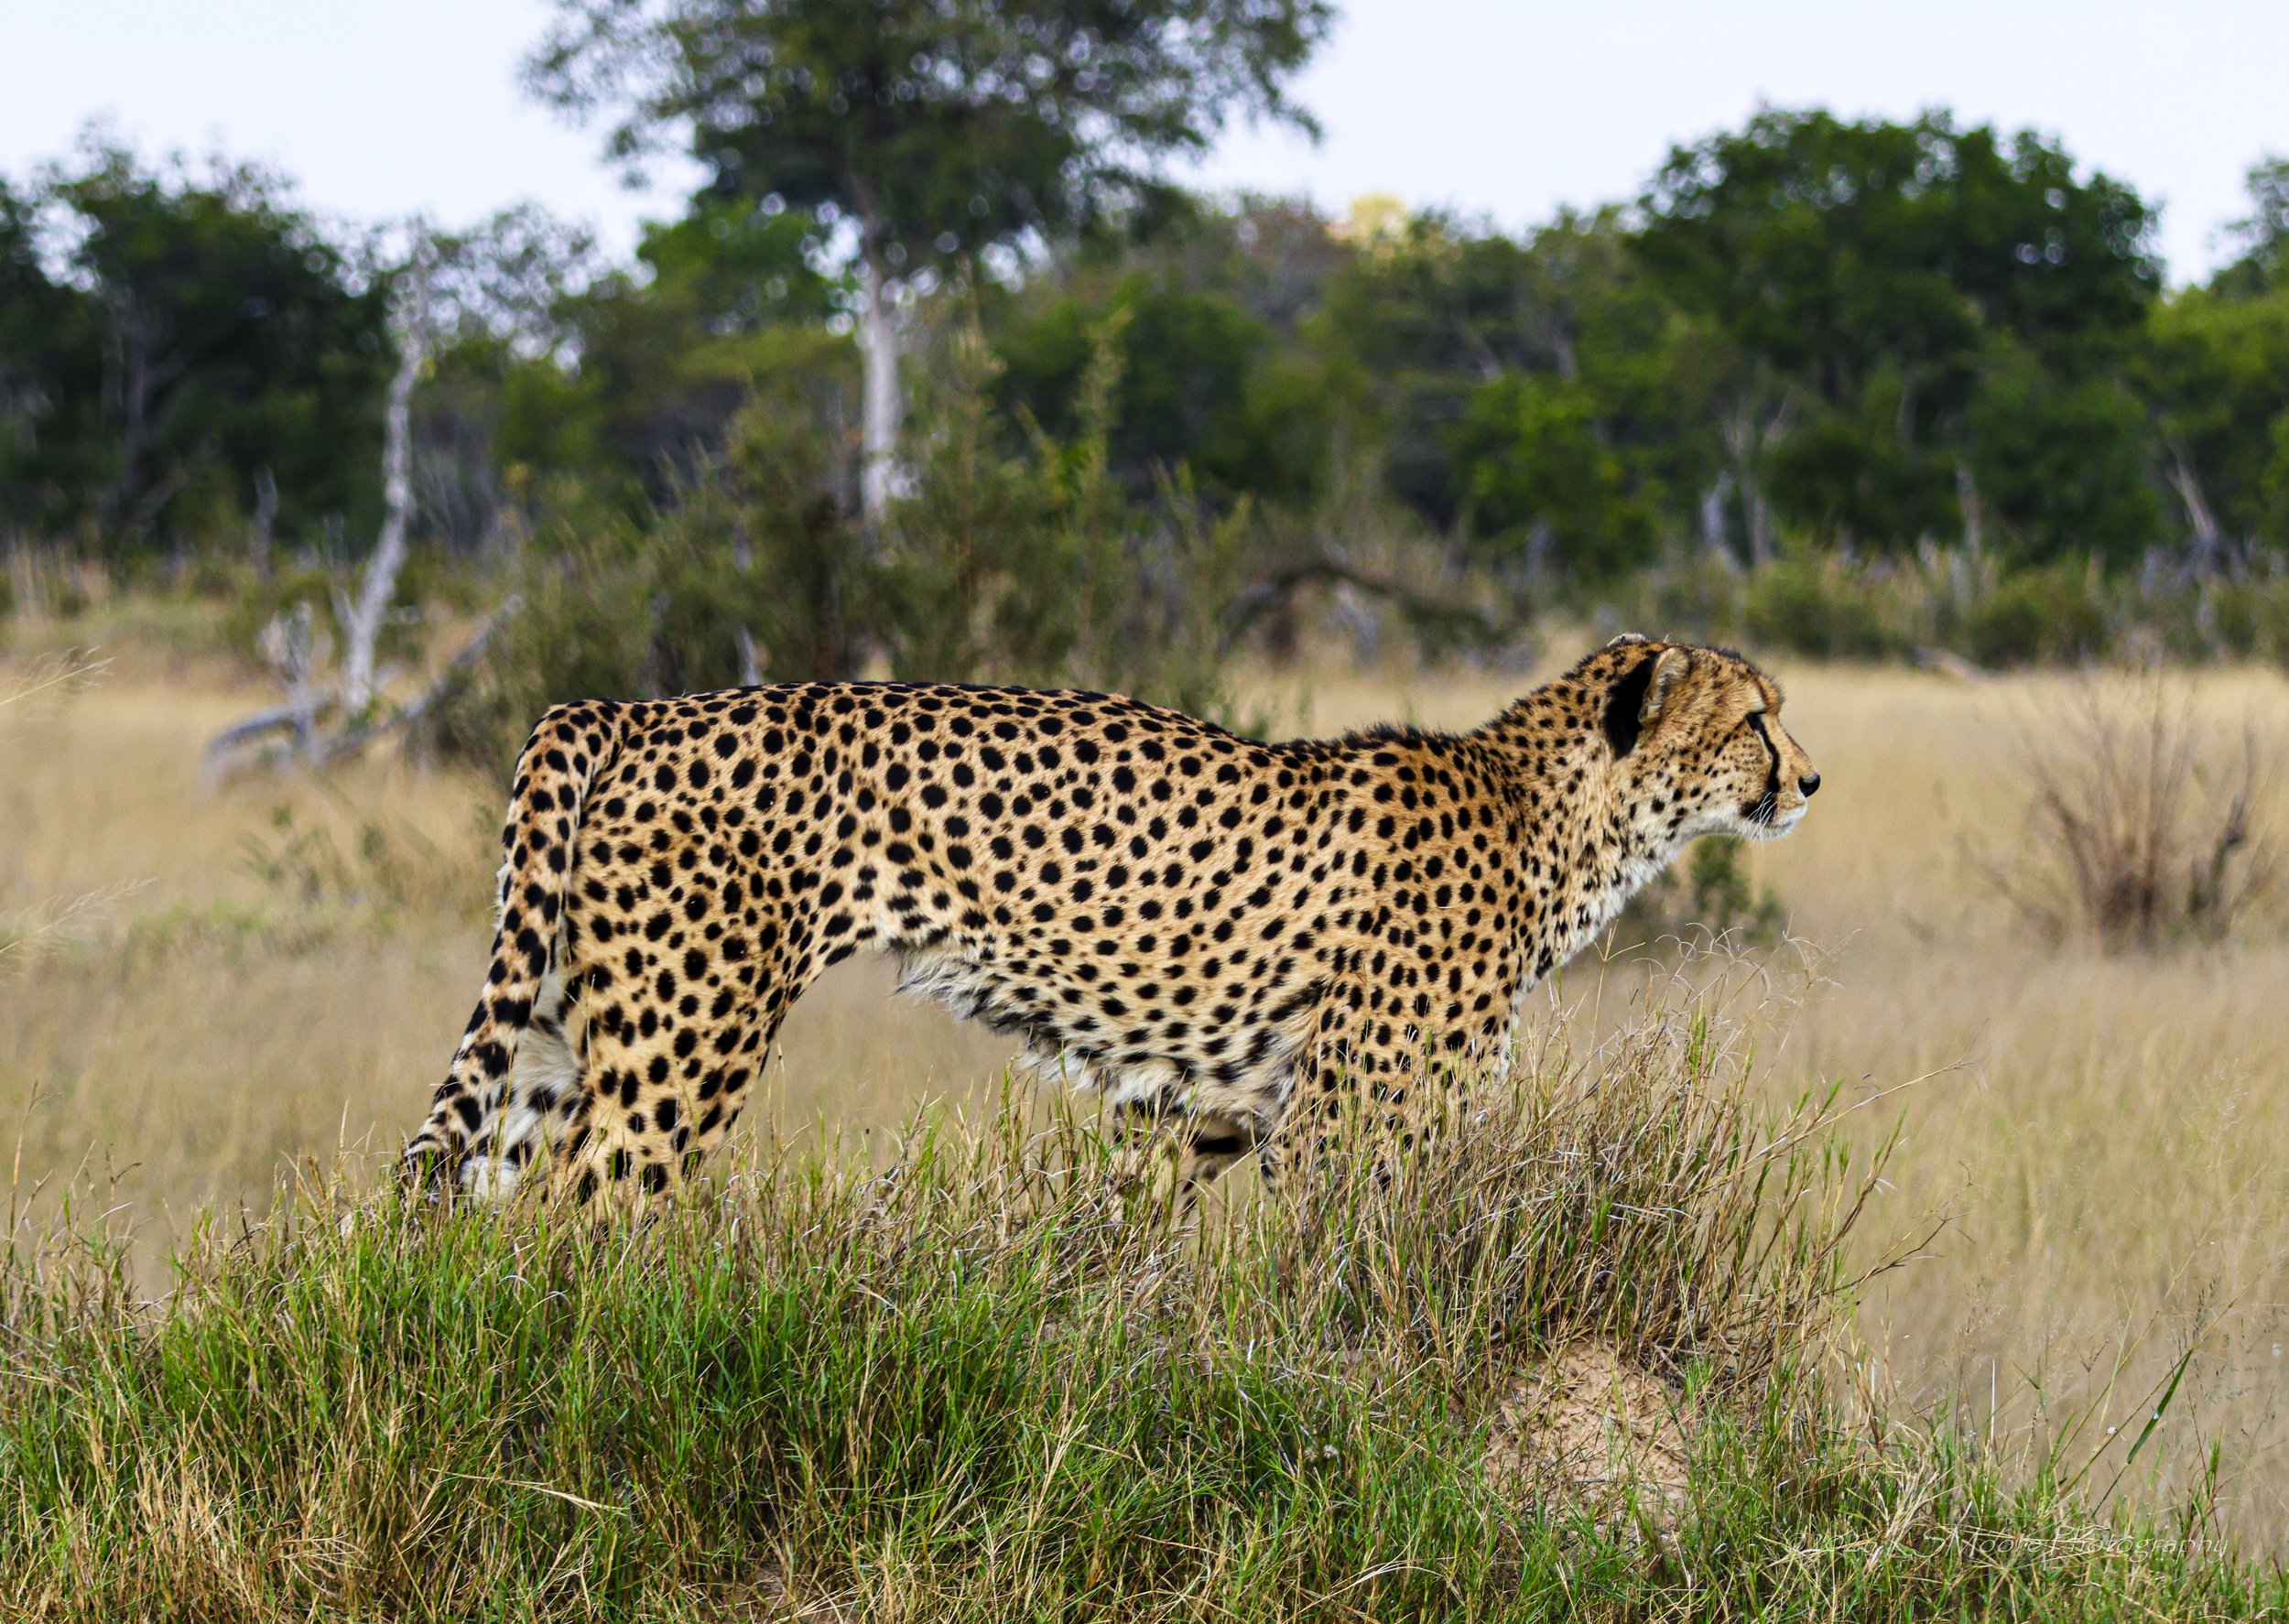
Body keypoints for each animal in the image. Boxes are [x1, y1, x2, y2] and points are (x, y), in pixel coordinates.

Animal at [403, 634, 1819, 1204]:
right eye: (1755, 717)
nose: (1808, 780)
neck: (1551, 821)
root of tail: (630, 704)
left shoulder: (1210, 1113)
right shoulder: (1345, 1127)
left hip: (559, 1033)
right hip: (681, 1047)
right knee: (589, 1221)